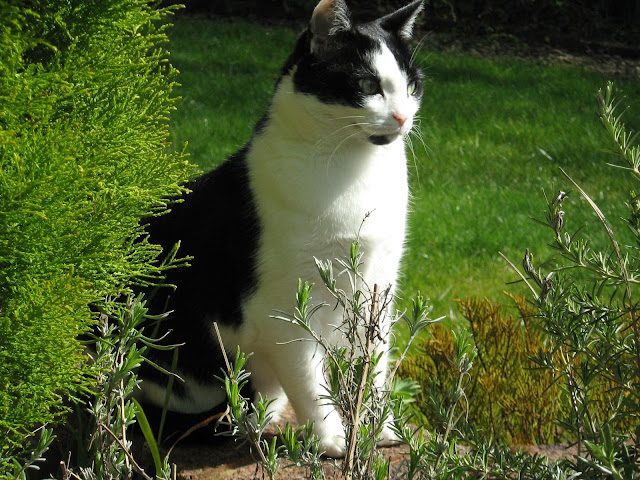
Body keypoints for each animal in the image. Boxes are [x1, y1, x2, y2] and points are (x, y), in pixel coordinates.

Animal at [138, 0, 422, 458]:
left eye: (412, 86)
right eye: (367, 83)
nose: (402, 116)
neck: (354, 173)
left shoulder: (379, 286)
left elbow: (374, 370)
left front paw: (380, 431)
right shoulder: (284, 309)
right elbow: (309, 382)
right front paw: (332, 441)